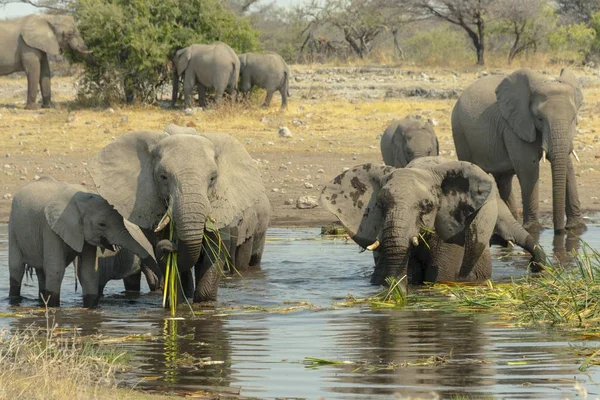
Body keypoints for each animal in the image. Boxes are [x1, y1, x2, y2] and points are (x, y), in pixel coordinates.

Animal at [9, 177, 159, 308]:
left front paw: (90, 308)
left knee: (41, 271)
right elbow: (56, 269)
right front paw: (53, 308)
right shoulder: (50, 228)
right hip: (13, 227)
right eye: (102, 224)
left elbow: (89, 272)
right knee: (17, 268)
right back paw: (15, 300)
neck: (81, 202)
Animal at [86, 126, 270, 302]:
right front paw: (176, 301)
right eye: (163, 177)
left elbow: (215, 247)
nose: (173, 244)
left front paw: (204, 303)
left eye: (213, 178)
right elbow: (163, 250)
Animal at [452, 67, 584, 233]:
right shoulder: (515, 127)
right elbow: (528, 167)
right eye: (540, 119)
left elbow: (567, 164)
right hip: (459, 133)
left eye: (573, 119)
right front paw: (533, 229)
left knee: (504, 180)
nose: (559, 231)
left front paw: (576, 228)